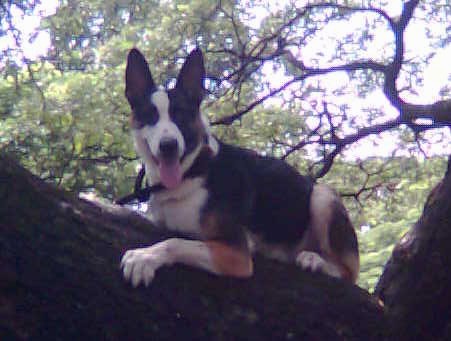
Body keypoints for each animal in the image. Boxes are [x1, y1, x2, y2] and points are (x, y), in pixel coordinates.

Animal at [120, 47, 360, 286]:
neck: (194, 170)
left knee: (348, 272)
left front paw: (145, 256)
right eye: (150, 116)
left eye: (181, 115)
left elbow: (176, 242)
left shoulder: (236, 253)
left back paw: (315, 260)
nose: (168, 146)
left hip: (322, 196)